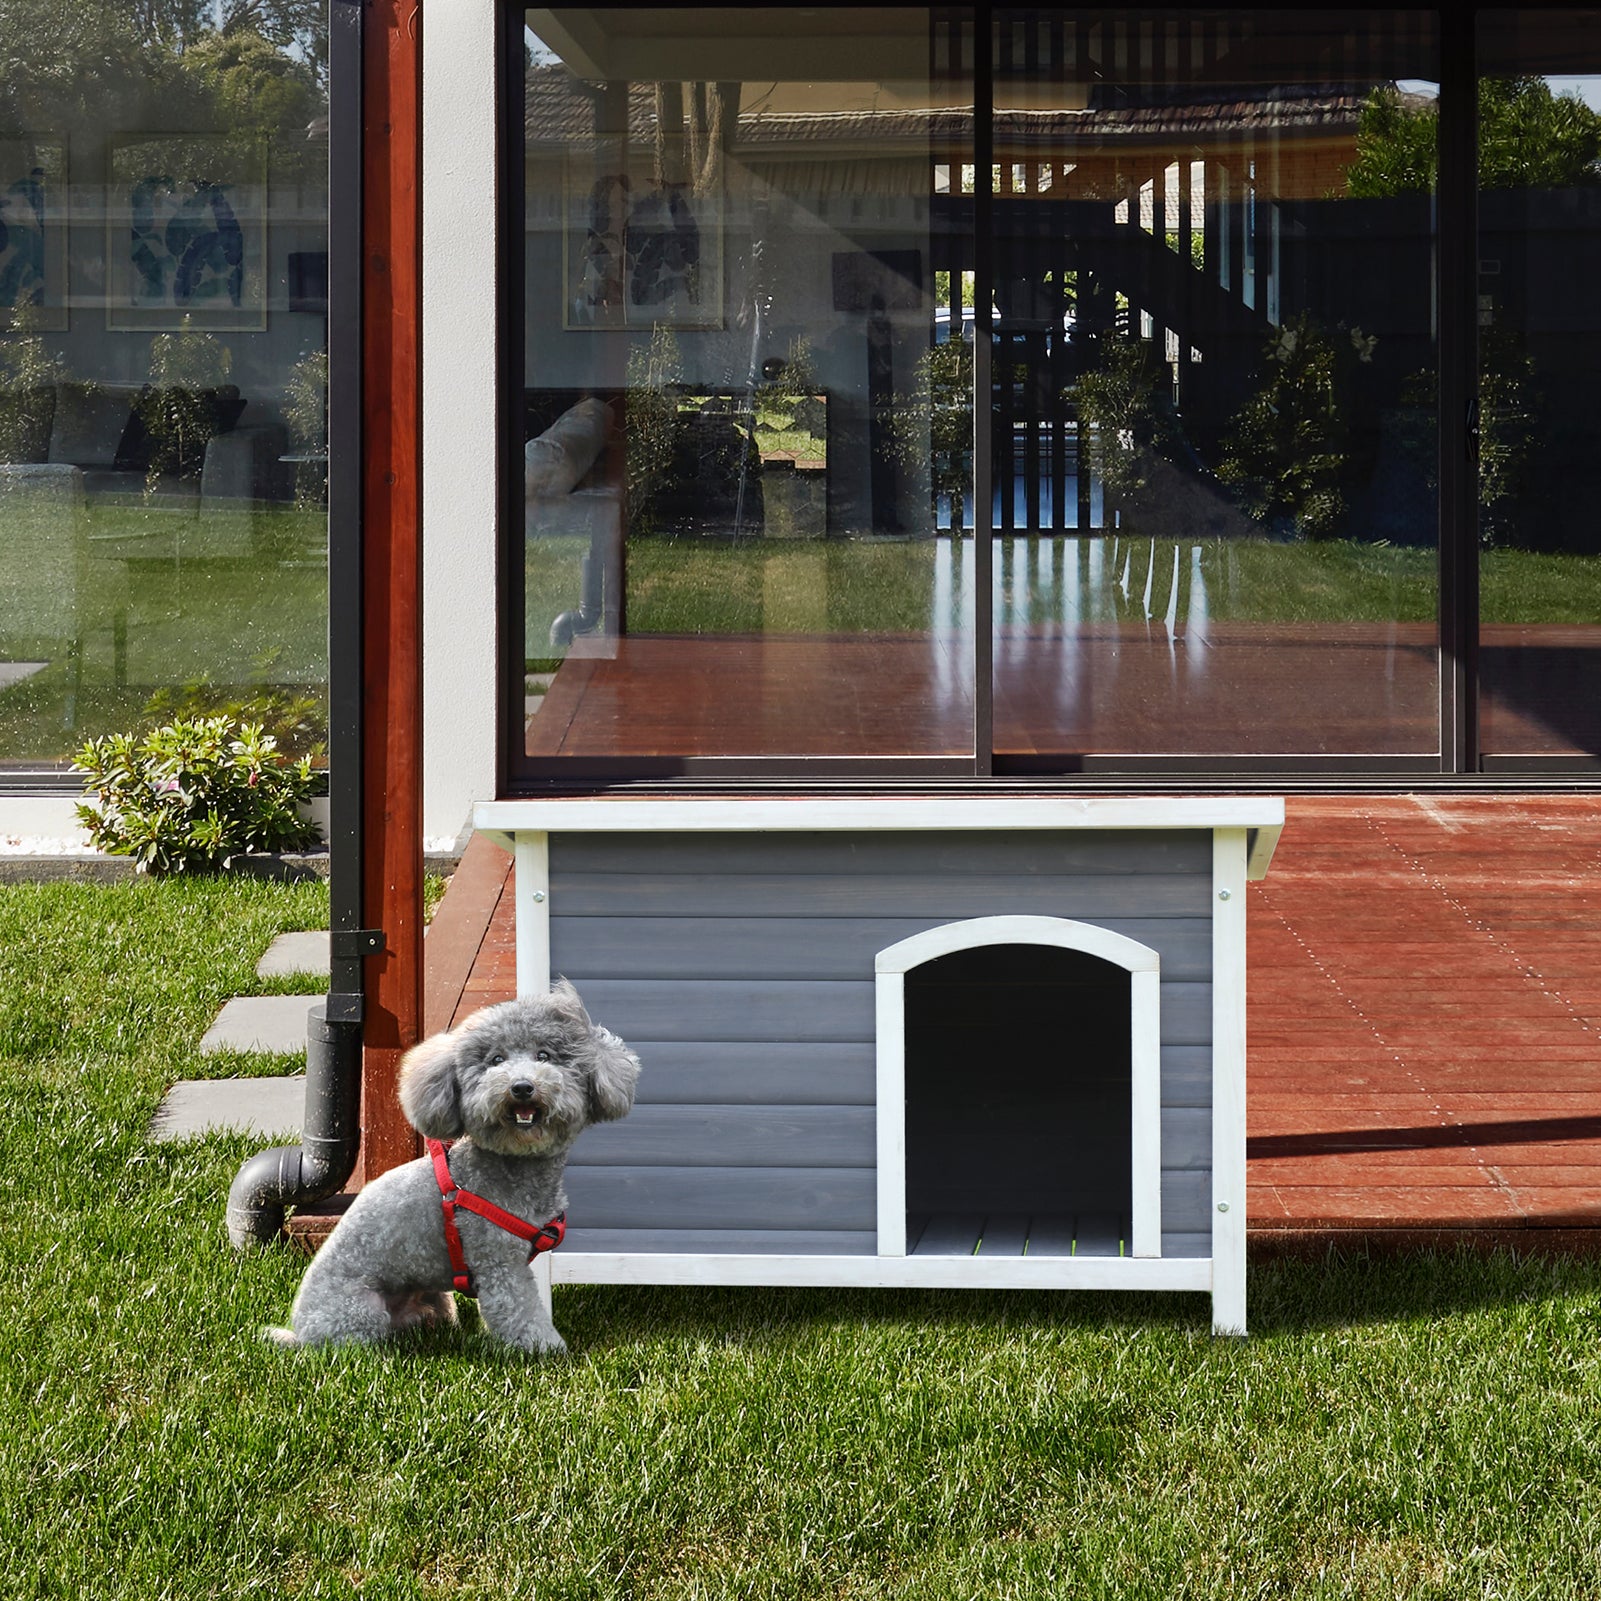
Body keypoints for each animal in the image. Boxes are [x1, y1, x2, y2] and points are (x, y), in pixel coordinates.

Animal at [268, 979, 637, 1357]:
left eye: (544, 1056)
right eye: (496, 1060)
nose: (521, 1087)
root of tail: (301, 1334)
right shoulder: (498, 1261)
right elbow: (519, 1311)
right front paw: (547, 1349)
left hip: (432, 1299)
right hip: (362, 1312)